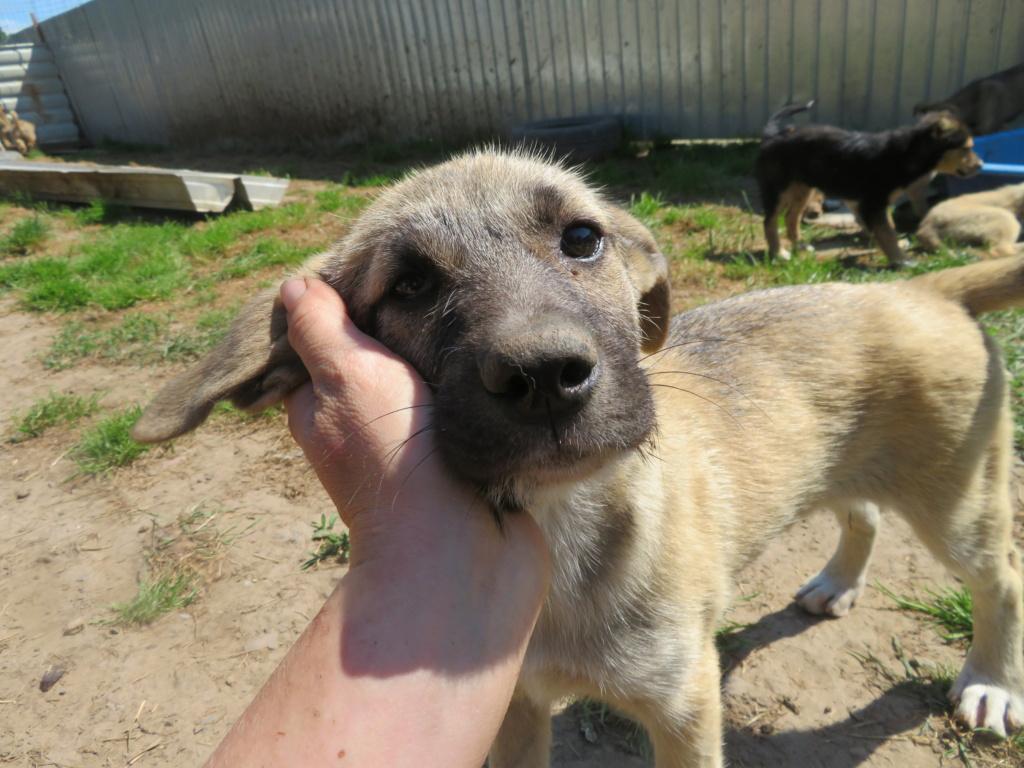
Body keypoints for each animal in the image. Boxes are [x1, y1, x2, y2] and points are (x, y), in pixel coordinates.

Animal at [132, 151, 1019, 768]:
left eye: (583, 239)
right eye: (409, 285)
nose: (546, 378)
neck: (564, 530)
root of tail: (922, 288)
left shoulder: (685, 704)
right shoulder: (514, 710)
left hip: (958, 496)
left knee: (1000, 576)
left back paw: (990, 684)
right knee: (862, 511)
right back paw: (838, 582)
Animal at [753, 103, 983, 268]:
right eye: (966, 148)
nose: (981, 165)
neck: (907, 153)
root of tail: (773, 135)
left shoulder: (876, 203)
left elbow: (888, 227)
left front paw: (896, 247)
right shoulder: (872, 202)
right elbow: (886, 232)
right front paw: (902, 260)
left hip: (803, 187)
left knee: (791, 217)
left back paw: (800, 245)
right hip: (777, 188)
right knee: (770, 221)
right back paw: (778, 253)